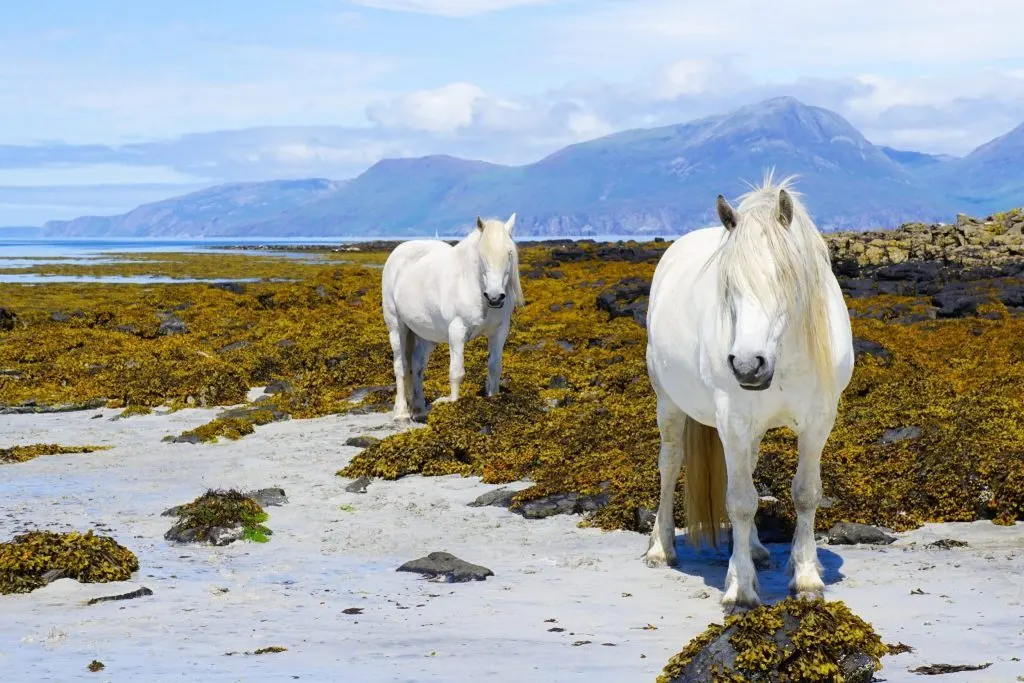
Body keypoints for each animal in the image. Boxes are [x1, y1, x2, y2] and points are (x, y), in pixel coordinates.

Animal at [378, 214, 528, 421]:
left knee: (417, 365)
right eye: (482, 255)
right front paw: (455, 405)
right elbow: (457, 372)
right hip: (396, 327)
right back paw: (401, 412)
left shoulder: (499, 331)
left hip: (426, 335)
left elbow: (494, 367)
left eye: (509, 254)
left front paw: (493, 400)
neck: (473, 285)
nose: (495, 297)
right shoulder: (457, 331)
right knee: (401, 365)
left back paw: (419, 409)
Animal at [643, 176, 851, 614]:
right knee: (669, 464)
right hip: (669, 404)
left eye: (785, 279)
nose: (746, 365)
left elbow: (805, 495)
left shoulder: (819, 421)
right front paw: (740, 589)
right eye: (728, 287)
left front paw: (806, 577)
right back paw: (661, 548)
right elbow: (739, 500)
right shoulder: (733, 420)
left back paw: (754, 549)